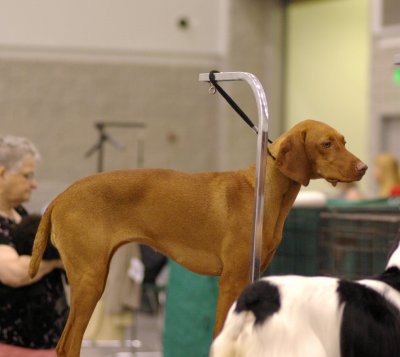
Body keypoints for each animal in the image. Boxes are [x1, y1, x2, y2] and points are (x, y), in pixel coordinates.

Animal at [28, 120, 366, 356]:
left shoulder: (251, 277)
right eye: (326, 144)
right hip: (91, 280)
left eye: (344, 141)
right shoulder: (230, 280)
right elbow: (218, 334)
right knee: (67, 345)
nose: (363, 167)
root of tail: (60, 197)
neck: (264, 193)